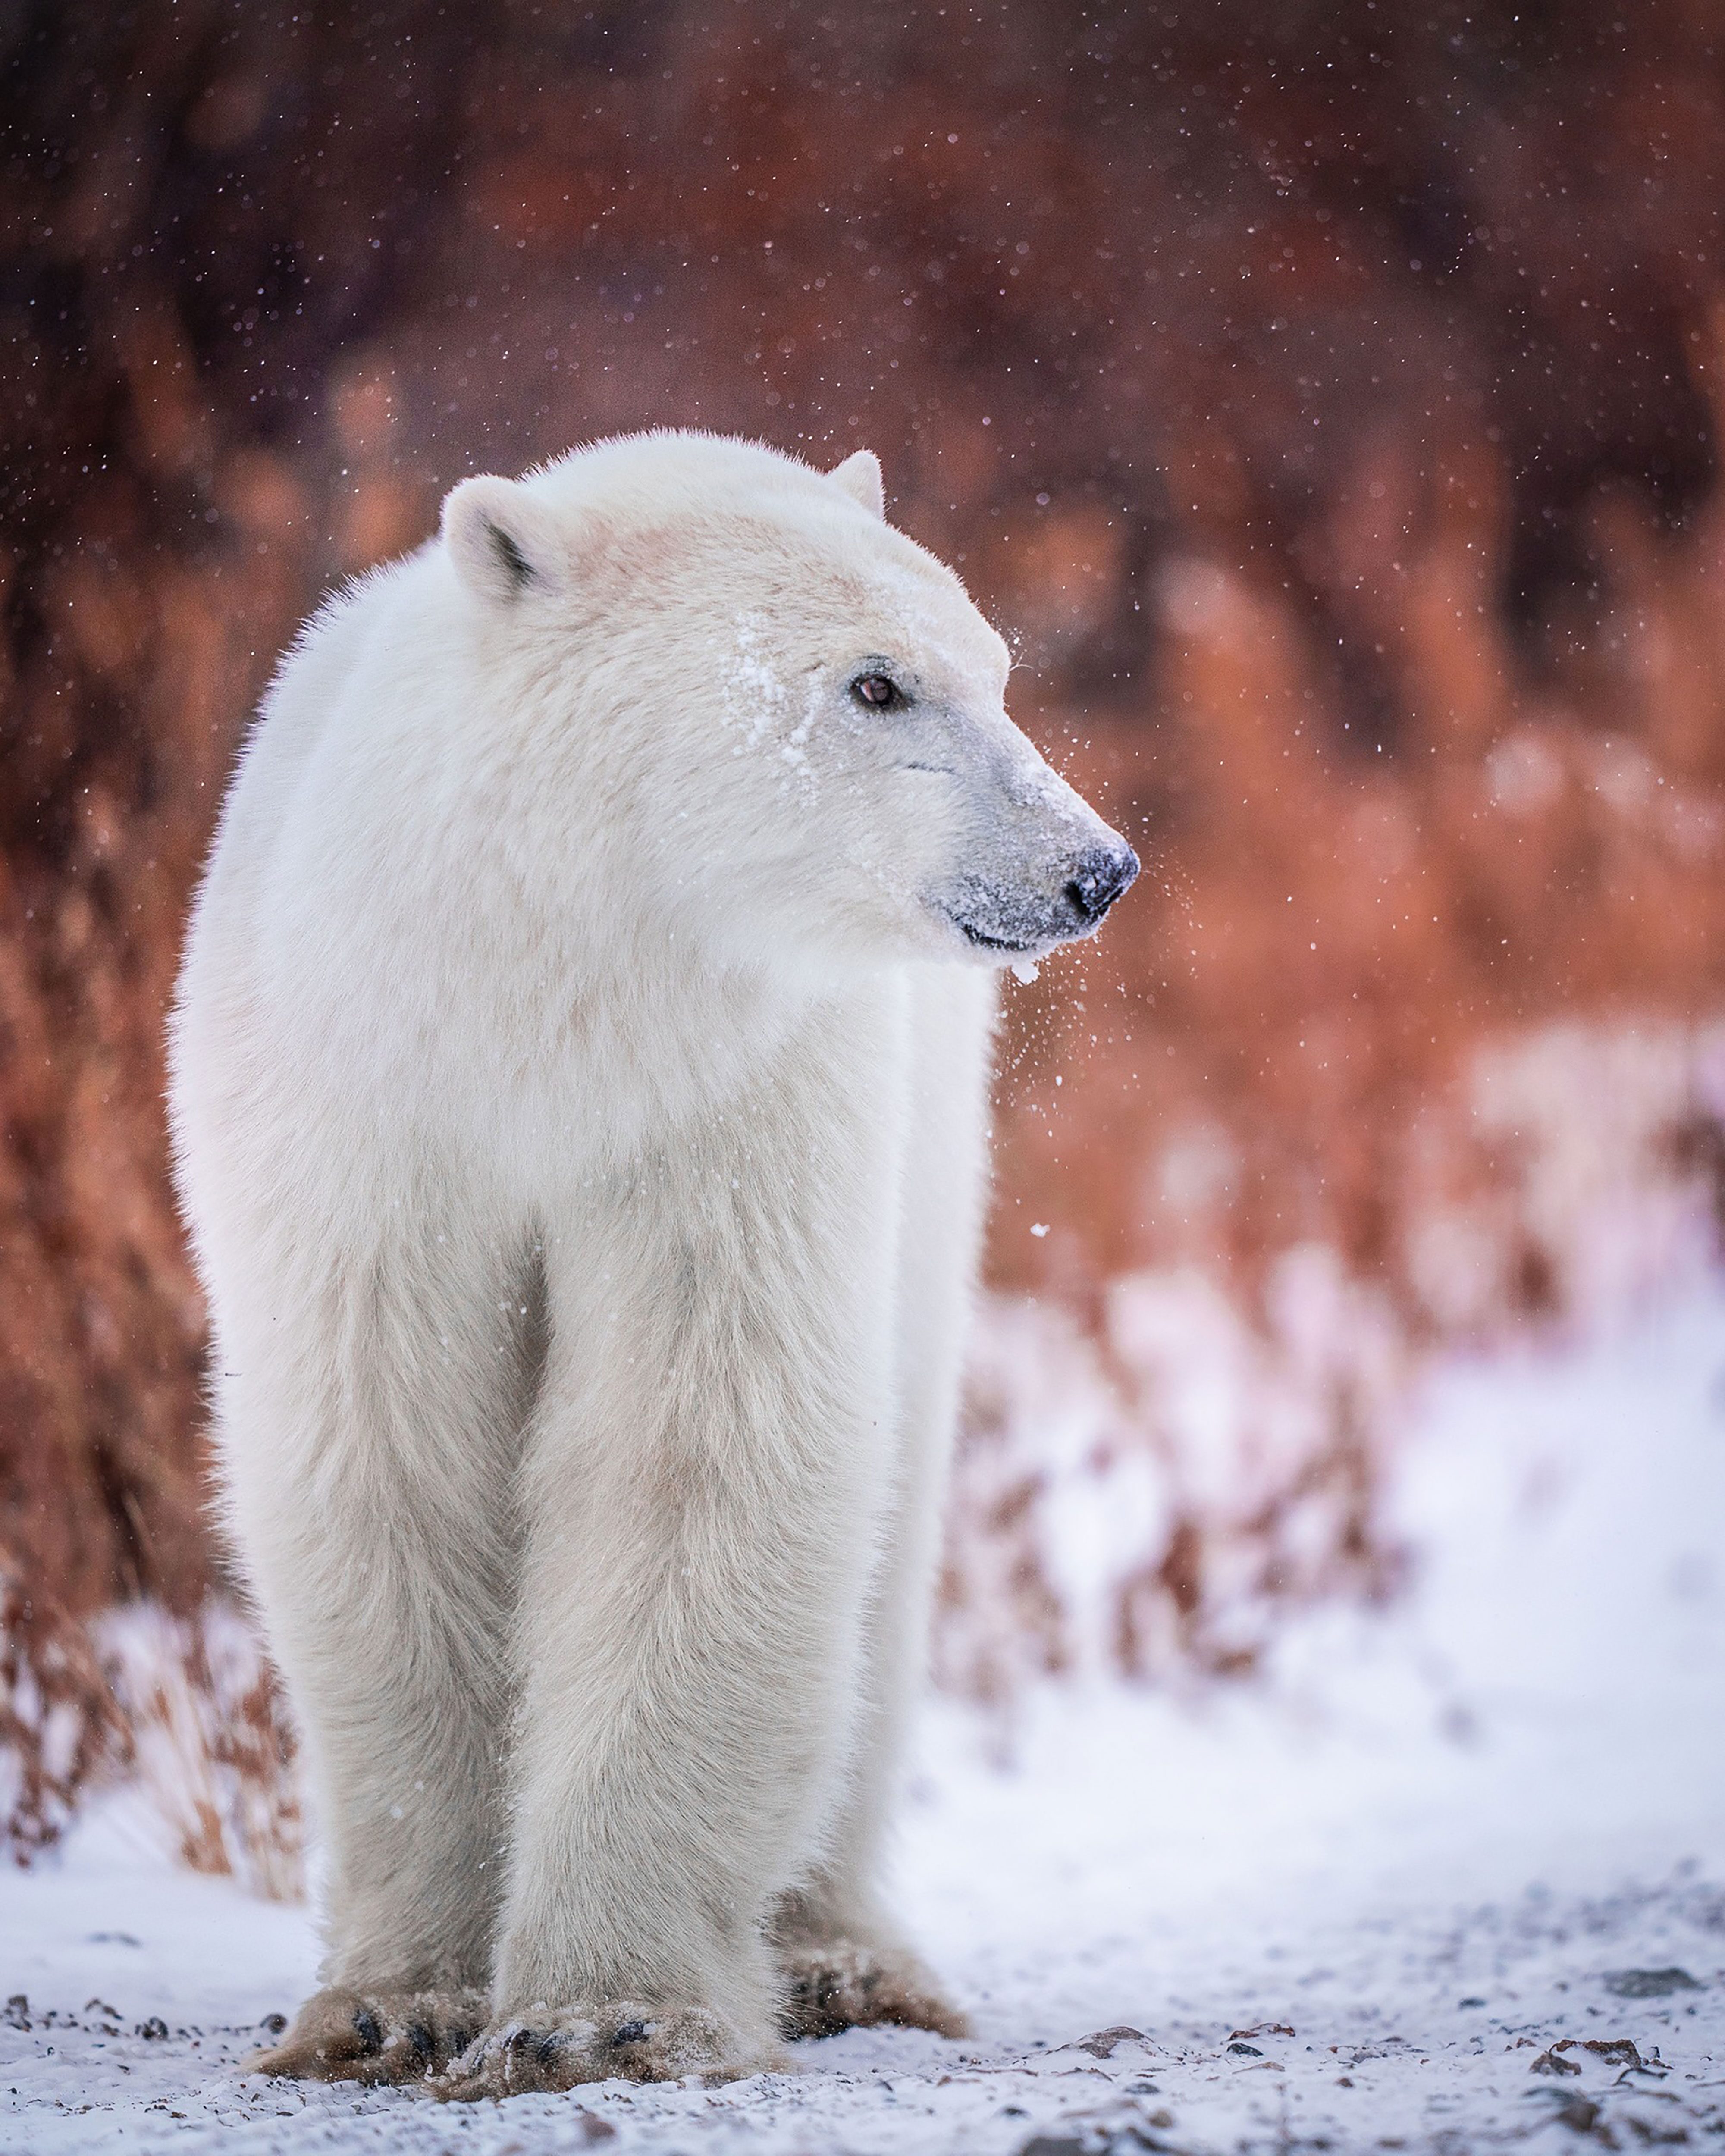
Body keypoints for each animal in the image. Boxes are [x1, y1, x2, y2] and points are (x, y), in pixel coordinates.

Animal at [168, 429, 1138, 2096]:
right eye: (876, 684)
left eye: (995, 666)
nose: (1093, 870)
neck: (561, 990)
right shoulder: (368, 1093)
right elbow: (387, 1449)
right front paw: (392, 2006)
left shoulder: (728, 1103)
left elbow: (692, 1448)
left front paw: (604, 2014)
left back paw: (836, 1958)